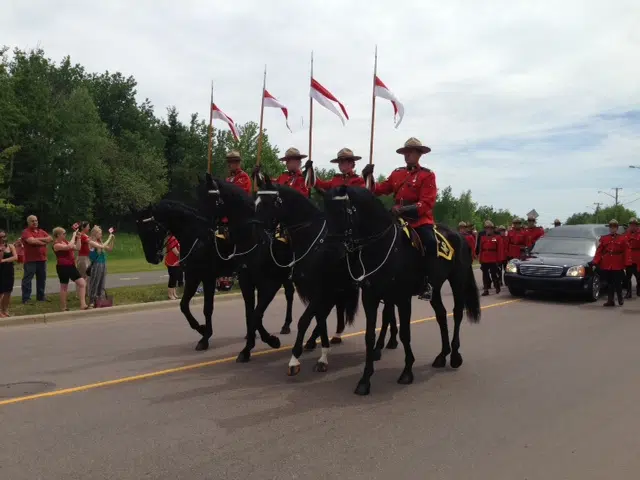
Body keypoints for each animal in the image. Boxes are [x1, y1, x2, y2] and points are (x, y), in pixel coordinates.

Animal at [324, 186, 480, 396]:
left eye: (342, 211)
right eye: (324, 211)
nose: (328, 251)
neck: (382, 248)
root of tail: (460, 235)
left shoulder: (402, 298)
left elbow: (405, 333)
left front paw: (407, 372)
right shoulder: (370, 298)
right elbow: (370, 335)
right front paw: (365, 380)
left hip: (457, 280)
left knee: (456, 313)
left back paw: (454, 356)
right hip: (435, 289)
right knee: (441, 314)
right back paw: (442, 355)